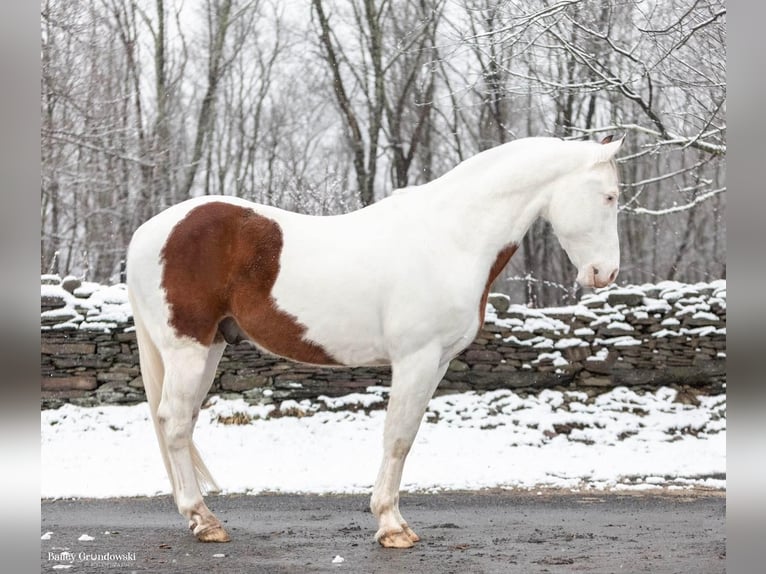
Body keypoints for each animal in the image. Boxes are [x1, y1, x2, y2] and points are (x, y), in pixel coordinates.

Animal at [126, 134, 628, 548]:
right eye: (609, 197)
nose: (605, 273)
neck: (451, 236)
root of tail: (146, 233)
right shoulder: (416, 360)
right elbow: (398, 437)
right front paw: (390, 526)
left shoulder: (437, 363)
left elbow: (405, 435)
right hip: (187, 350)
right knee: (174, 424)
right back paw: (204, 520)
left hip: (210, 347)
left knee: (184, 423)